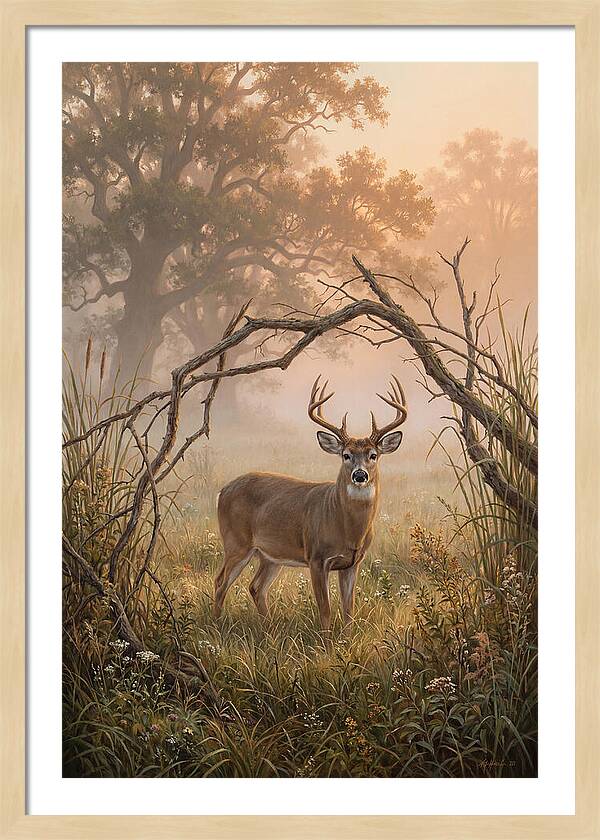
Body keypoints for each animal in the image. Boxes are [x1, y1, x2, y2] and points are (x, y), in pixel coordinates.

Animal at [214, 375, 408, 633]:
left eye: (373, 455)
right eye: (346, 455)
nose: (359, 475)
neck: (347, 529)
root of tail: (222, 491)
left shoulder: (353, 562)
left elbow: (349, 610)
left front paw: (346, 639)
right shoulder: (316, 557)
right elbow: (325, 610)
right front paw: (326, 642)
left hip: (270, 555)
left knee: (256, 587)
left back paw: (269, 630)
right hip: (237, 542)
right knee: (220, 582)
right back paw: (215, 625)